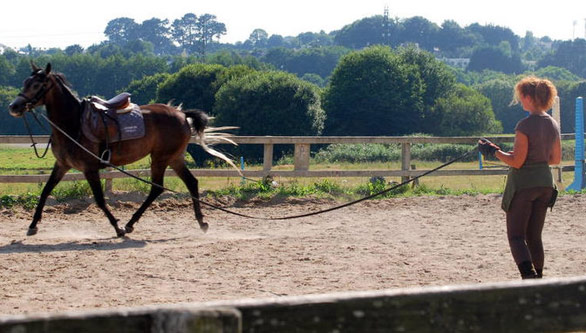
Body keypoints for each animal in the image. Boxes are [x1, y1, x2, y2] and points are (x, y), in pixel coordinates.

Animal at [7, 63, 230, 236]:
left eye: (37, 84)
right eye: (25, 82)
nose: (14, 106)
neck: (74, 124)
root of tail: (182, 114)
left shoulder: (90, 169)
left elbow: (99, 199)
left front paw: (117, 227)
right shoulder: (62, 165)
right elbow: (45, 192)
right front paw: (32, 226)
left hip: (160, 159)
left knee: (157, 188)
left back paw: (130, 224)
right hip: (174, 159)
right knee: (191, 183)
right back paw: (201, 222)